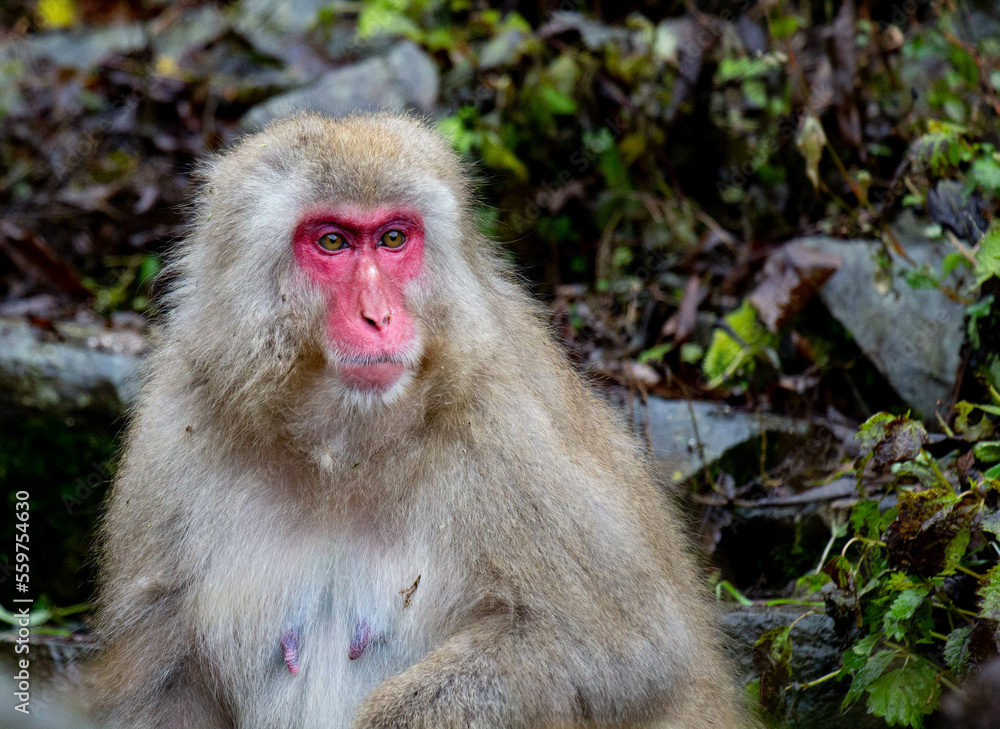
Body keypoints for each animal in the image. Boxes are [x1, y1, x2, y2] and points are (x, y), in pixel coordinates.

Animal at [89, 113, 751, 729]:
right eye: (332, 242)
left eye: (392, 238)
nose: (379, 316)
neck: (342, 451)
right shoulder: (176, 429)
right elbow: (164, 682)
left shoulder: (507, 430)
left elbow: (626, 647)